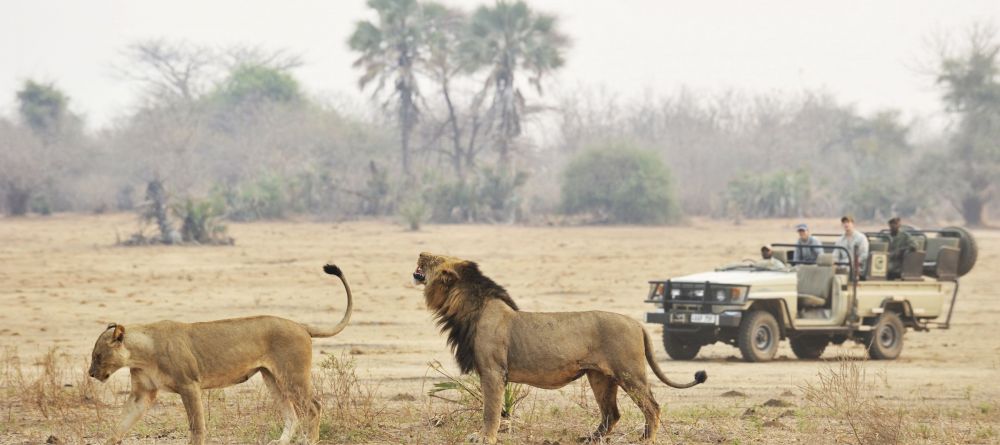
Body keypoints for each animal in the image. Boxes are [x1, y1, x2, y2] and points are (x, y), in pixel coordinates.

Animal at [90, 264, 354, 444]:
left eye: (97, 356)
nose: (91, 374)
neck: (141, 354)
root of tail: (300, 325)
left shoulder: (189, 385)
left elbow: (197, 426)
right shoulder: (142, 394)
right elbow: (121, 423)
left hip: (292, 375)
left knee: (314, 407)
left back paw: (310, 441)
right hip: (271, 377)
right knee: (291, 414)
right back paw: (280, 442)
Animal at [412, 251, 704, 442]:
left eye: (434, 259)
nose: (421, 252)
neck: (466, 307)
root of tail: (637, 323)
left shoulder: (493, 372)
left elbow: (490, 411)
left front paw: (484, 438)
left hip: (629, 373)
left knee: (652, 406)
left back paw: (646, 439)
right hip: (600, 377)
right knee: (612, 413)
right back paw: (590, 439)